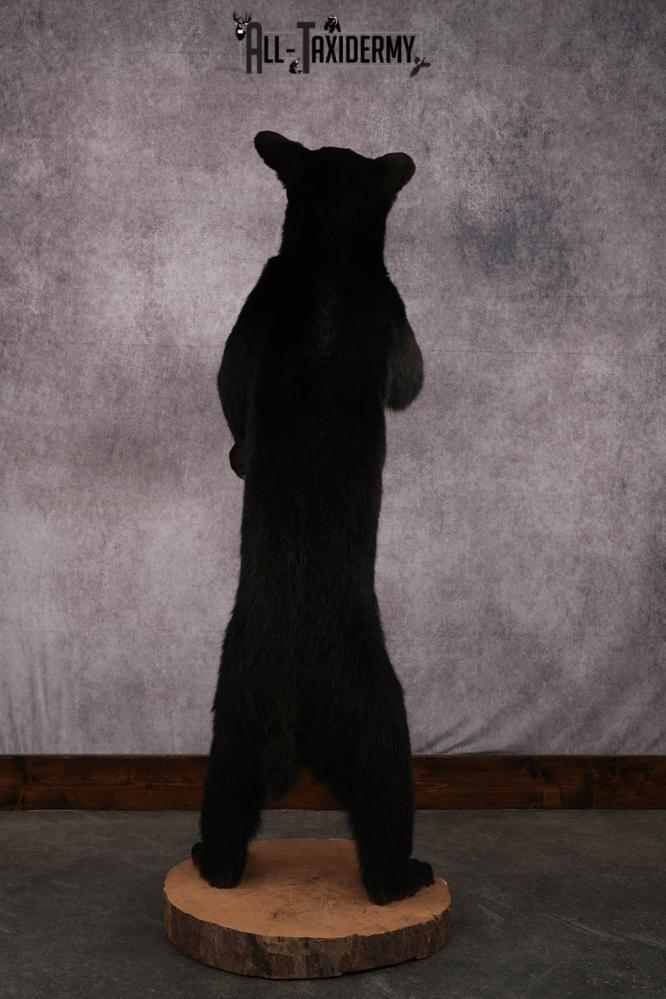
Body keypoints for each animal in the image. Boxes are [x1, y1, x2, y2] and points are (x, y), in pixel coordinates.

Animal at [191, 130, 432, 906]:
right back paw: (405, 878)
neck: (327, 252)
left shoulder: (253, 314)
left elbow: (231, 382)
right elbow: (411, 373)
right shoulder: (394, 319)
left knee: (227, 809)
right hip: (381, 722)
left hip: (232, 724)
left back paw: (213, 863)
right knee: (384, 815)